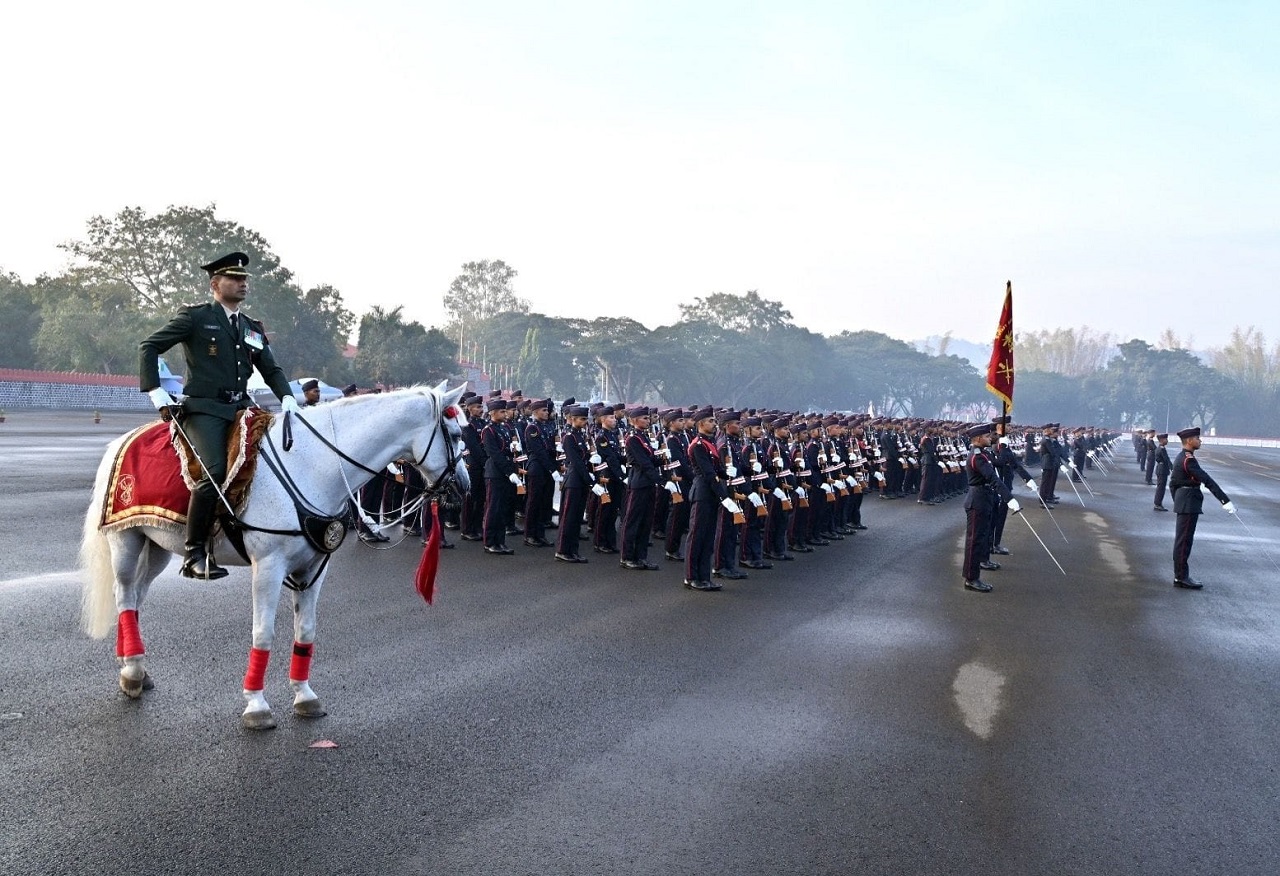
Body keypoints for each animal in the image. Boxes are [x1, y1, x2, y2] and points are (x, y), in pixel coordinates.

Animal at [81, 379, 471, 727]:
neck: (314, 467)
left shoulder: (314, 567)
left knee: (134, 597)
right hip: (127, 541)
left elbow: (306, 630)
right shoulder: (268, 567)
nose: (464, 488)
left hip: (158, 545)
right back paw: (132, 671)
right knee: (124, 594)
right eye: (455, 435)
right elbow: (263, 632)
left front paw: (304, 695)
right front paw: (256, 704)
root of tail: (122, 441)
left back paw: (134, 665)